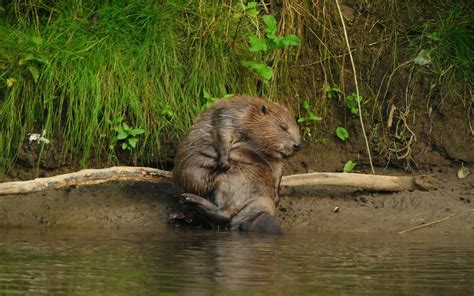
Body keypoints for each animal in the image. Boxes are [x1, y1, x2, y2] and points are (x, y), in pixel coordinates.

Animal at [173, 95, 300, 234]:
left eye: (297, 126)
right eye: (283, 127)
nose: (297, 145)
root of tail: (259, 213)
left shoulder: (274, 159)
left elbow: (278, 171)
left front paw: (277, 198)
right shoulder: (228, 116)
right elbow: (223, 135)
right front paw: (224, 163)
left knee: (224, 214)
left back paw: (187, 202)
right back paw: (182, 211)